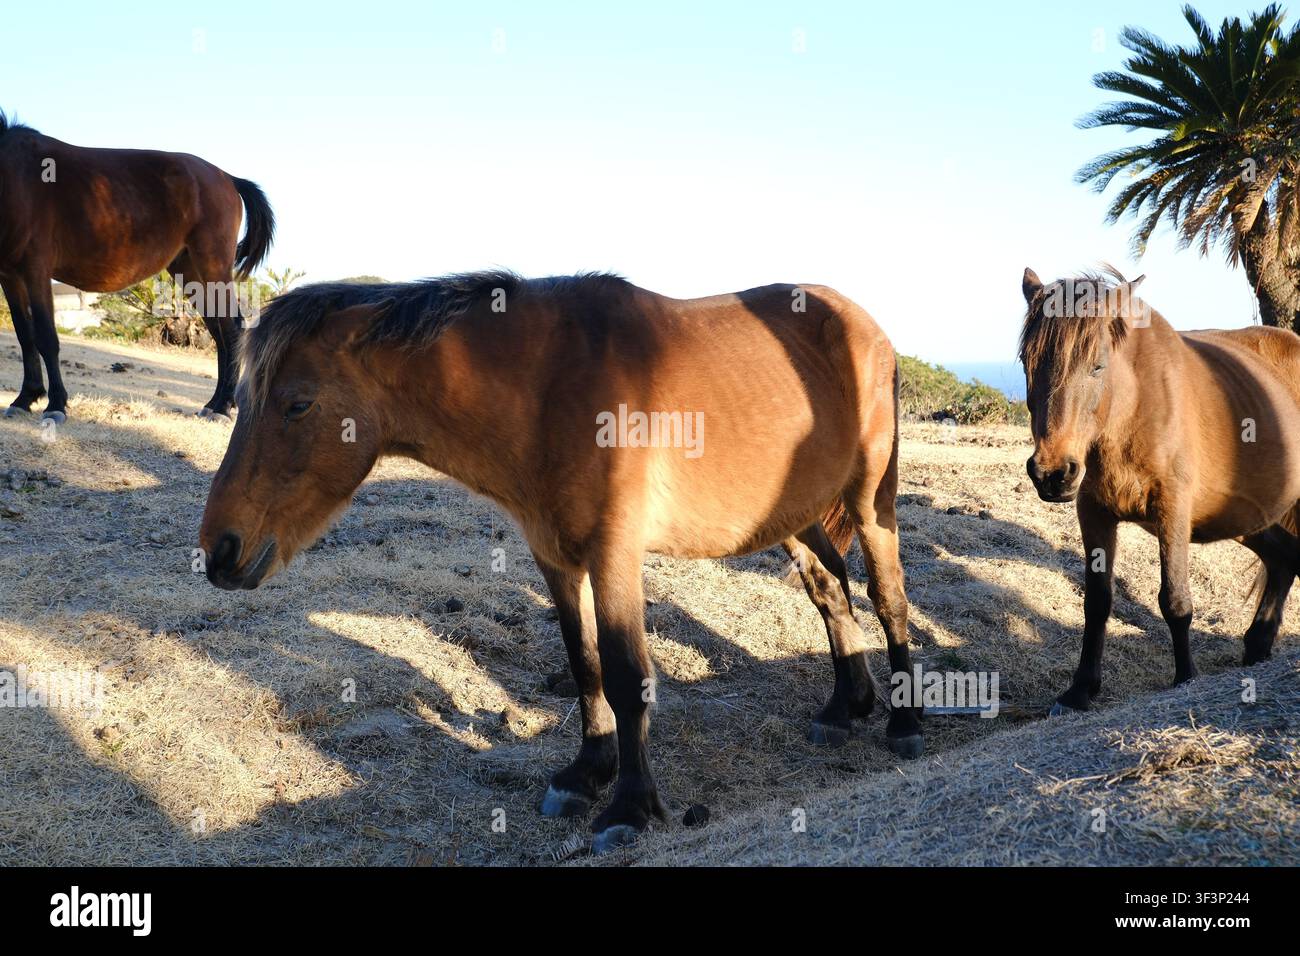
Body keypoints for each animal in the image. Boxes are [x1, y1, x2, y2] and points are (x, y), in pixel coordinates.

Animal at [0, 110, 274, 421]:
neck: (17, 175)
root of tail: (228, 178)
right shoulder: (9, 275)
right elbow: (25, 335)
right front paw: (25, 398)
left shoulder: (36, 270)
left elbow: (46, 337)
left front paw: (56, 404)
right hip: (190, 270)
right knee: (218, 332)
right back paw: (213, 402)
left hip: (212, 266)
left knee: (231, 329)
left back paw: (224, 406)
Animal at [197, 271, 923, 852]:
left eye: (298, 403)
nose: (219, 550)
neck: (548, 388)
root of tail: (865, 327)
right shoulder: (555, 557)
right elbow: (584, 665)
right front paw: (587, 774)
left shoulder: (614, 555)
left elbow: (627, 675)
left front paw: (629, 807)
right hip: (793, 516)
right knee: (831, 590)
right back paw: (845, 707)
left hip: (870, 500)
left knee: (887, 597)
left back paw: (904, 721)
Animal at [1019, 267, 1300, 715]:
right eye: (1027, 362)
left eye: (1097, 366)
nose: (1052, 473)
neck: (1132, 408)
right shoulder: (1093, 512)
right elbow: (1097, 602)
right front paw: (1080, 690)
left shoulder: (1173, 510)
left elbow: (1175, 600)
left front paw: (1185, 678)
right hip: (1247, 516)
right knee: (1285, 559)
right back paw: (1257, 646)